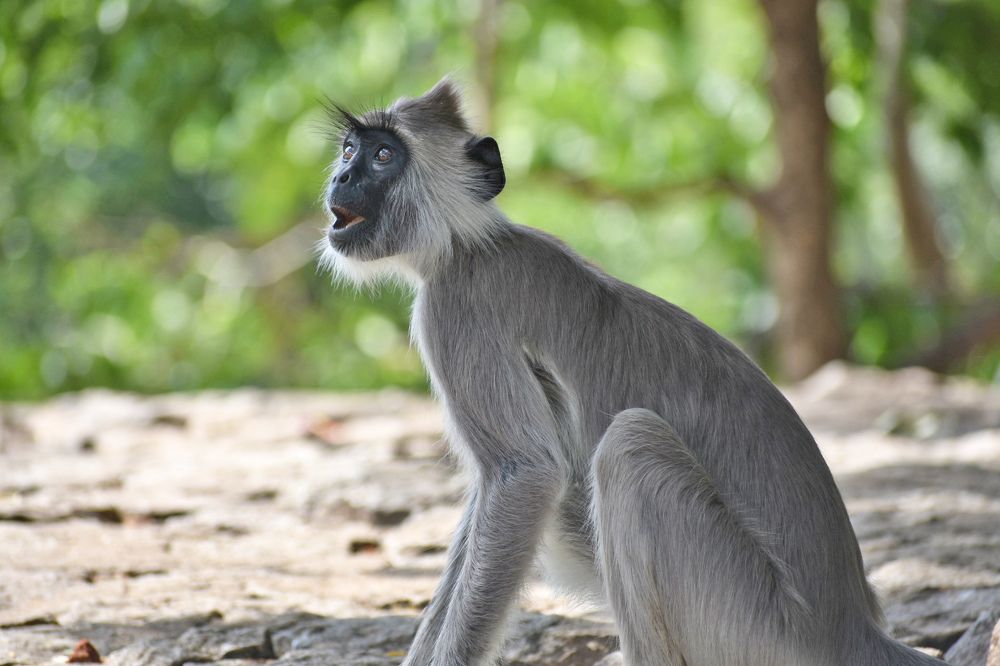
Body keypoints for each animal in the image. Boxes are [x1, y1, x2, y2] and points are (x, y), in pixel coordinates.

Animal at [317, 79, 945, 666]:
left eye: (382, 156)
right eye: (349, 149)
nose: (341, 178)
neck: (468, 244)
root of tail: (850, 628)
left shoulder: (455, 309)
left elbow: (525, 476)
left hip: (757, 623)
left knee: (629, 446)